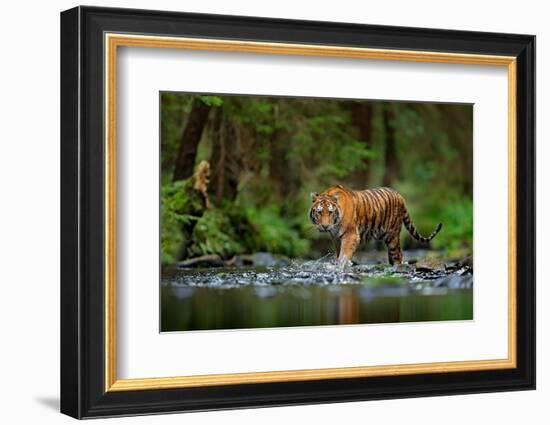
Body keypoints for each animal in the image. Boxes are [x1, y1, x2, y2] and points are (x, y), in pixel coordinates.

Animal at [310, 185, 444, 264]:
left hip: (392, 236)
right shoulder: (336, 238)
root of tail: (400, 196)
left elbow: (344, 254)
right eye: (319, 212)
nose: (325, 226)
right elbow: (339, 253)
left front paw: (340, 267)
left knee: (398, 254)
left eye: (330, 212)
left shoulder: (351, 235)